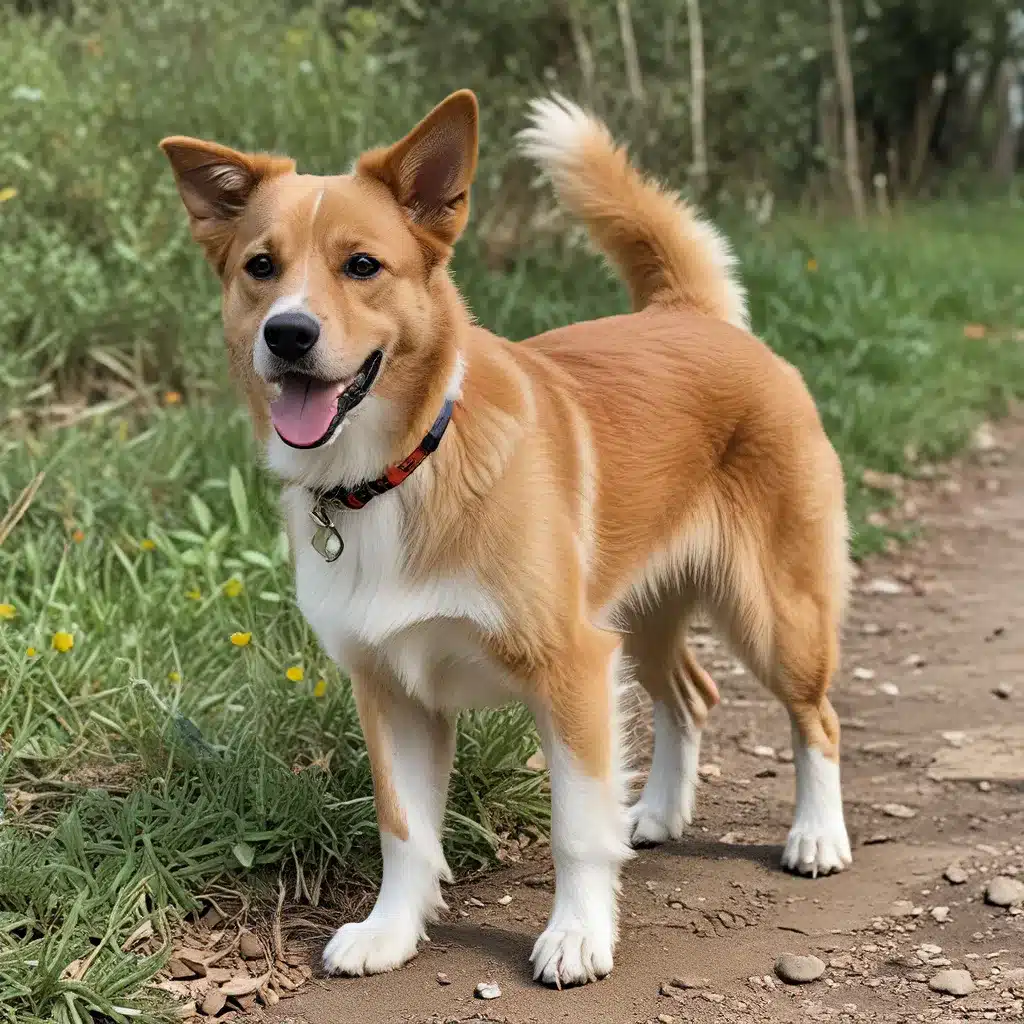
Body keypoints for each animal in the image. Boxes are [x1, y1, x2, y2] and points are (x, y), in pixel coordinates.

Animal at [157, 92, 847, 987]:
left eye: (363, 266)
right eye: (261, 266)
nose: (288, 334)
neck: (400, 469)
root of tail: (691, 316)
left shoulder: (572, 667)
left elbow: (576, 828)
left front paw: (578, 934)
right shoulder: (391, 690)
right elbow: (404, 829)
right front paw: (391, 929)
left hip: (776, 614)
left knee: (816, 718)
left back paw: (817, 834)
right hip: (642, 617)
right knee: (690, 698)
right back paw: (657, 813)